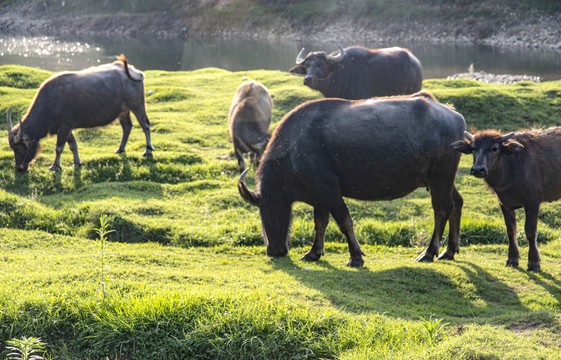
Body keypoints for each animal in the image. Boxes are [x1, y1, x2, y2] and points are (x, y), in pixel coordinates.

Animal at [7, 54, 155, 172]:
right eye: (12, 148)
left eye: (18, 148)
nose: (19, 167)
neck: (51, 102)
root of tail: (133, 71)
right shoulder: (66, 128)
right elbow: (73, 145)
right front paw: (77, 163)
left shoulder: (64, 127)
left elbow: (59, 147)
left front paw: (55, 166)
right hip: (123, 112)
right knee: (127, 126)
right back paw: (120, 149)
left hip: (138, 106)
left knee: (145, 125)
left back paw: (147, 150)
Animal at [236, 91, 464, 266]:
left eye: (266, 210)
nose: (274, 250)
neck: (294, 150)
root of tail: (453, 115)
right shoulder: (319, 197)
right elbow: (320, 223)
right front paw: (313, 253)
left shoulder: (328, 189)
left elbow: (344, 221)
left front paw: (355, 257)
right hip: (442, 180)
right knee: (456, 204)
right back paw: (449, 251)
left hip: (440, 177)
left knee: (441, 209)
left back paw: (429, 253)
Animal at [448, 128, 561, 272]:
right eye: (473, 148)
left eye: (495, 148)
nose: (478, 169)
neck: (510, 170)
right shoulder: (504, 203)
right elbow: (511, 230)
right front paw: (512, 259)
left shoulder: (532, 202)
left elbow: (530, 231)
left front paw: (534, 262)